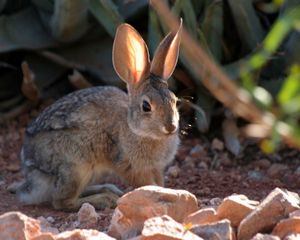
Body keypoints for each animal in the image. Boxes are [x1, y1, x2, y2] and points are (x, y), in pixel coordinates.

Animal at [16, 22, 183, 210]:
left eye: (175, 101)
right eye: (146, 106)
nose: (171, 127)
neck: (136, 129)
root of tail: (31, 174)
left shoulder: (156, 168)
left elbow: (159, 182)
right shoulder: (130, 166)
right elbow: (146, 184)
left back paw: (109, 189)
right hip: (76, 167)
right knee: (61, 201)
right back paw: (104, 198)